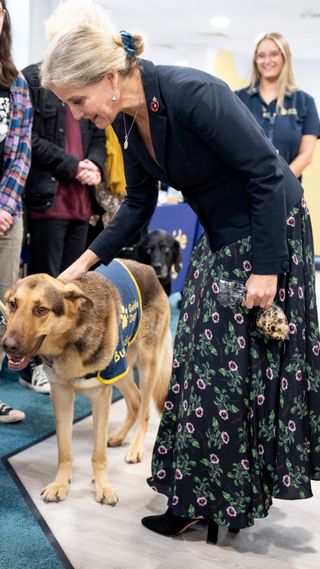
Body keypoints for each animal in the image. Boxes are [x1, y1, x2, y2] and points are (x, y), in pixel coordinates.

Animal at [1, 260, 172, 504]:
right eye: (13, 304)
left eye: (41, 310)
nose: (8, 346)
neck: (71, 337)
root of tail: (148, 268)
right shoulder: (61, 395)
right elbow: (64, 450)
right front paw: (61, 484)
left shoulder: (101, 396)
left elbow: (98, 453)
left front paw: (102, 487)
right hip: (121, 369)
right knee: (136, 401)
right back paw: (118, 437)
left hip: (147, 365)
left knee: (145, 410)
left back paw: (135, 448)